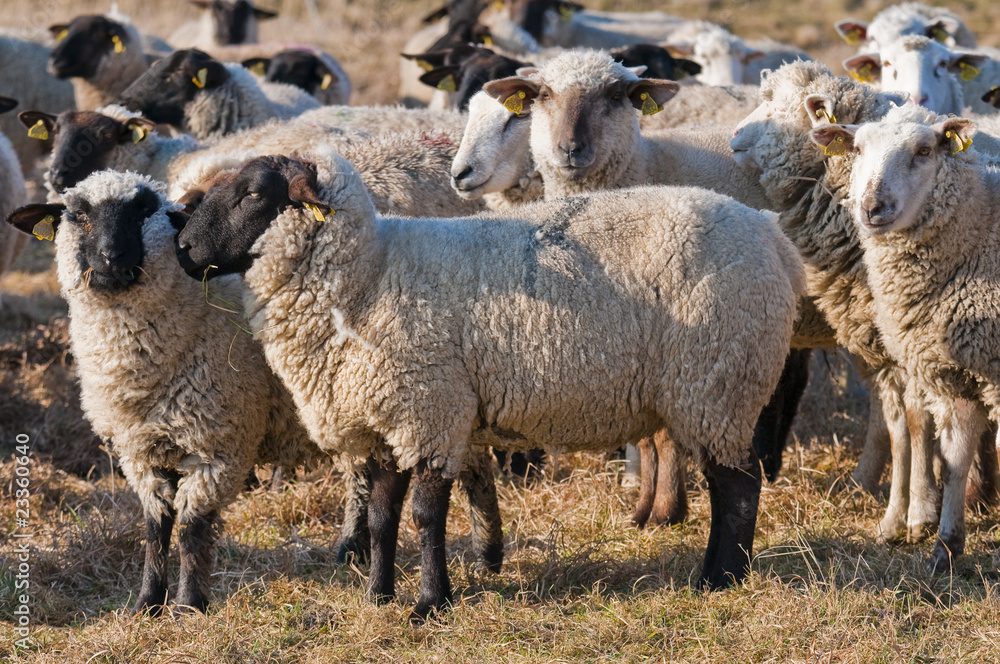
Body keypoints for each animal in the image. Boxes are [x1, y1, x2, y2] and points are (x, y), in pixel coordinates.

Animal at [4, 170, 320, 613]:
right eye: (78, 214)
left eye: (142, 209)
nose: (111, 257)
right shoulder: (139, 450)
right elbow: (156, 527)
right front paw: (147, 604)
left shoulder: (217, 445)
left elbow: (191, 528)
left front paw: (189, 606)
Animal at [172, 146, 804, 619]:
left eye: (254, 193)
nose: (182, 249)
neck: (370, 276)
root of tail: (774, 238)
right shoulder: (386, 421)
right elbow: (380, 517)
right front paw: (377, 595)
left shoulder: (431, 411)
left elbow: (426, 517)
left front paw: (430, 603)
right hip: (711, 392)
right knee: (728, 484)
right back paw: (715, 575)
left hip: (718, 383)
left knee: (739, 487)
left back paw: (720, 580)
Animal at [809, 104, 1000, 570]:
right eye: (857, 149)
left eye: (924, 151)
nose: (872, 206)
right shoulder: (953, 373)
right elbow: (955, 459)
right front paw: (946, 547)